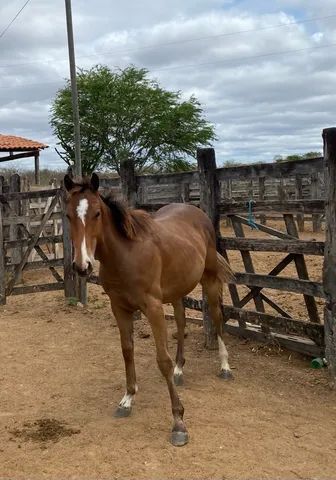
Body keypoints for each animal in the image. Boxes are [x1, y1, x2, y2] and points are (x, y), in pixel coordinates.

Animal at [64, 172, 235, 446]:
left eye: (97, 213)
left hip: (209, 281)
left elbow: (162, 359)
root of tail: (198, 213)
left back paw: (225, 367)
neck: (126, 254)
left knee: (217, 317)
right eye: (68, 215)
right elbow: (127, 351)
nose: (82, 266)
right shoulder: (119, 308)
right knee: (181, 321)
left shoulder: (153, 308)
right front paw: (127, 399)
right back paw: (180, 370)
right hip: (176, 291)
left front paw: (178, 422)